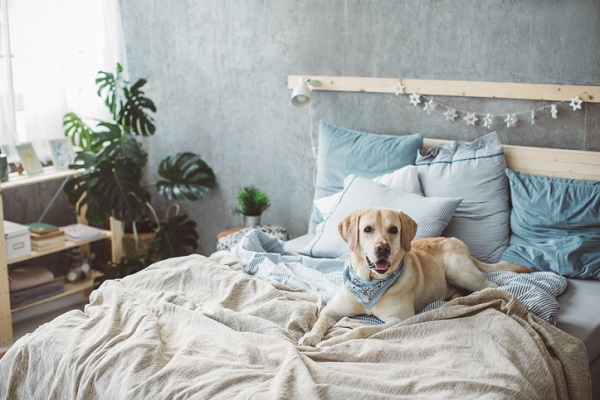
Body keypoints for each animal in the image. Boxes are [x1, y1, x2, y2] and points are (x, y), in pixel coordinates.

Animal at [298, 206, 532, 346]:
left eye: (393, 229)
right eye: (367, 229)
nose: (382, 248)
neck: (370, 283)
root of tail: (457, 242)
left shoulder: (399, 319)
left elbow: (361, 330)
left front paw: (333, 341)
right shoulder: (331, 310)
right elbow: (319, 322)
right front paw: (310, 336)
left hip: (458, 269)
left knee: (489, 286)